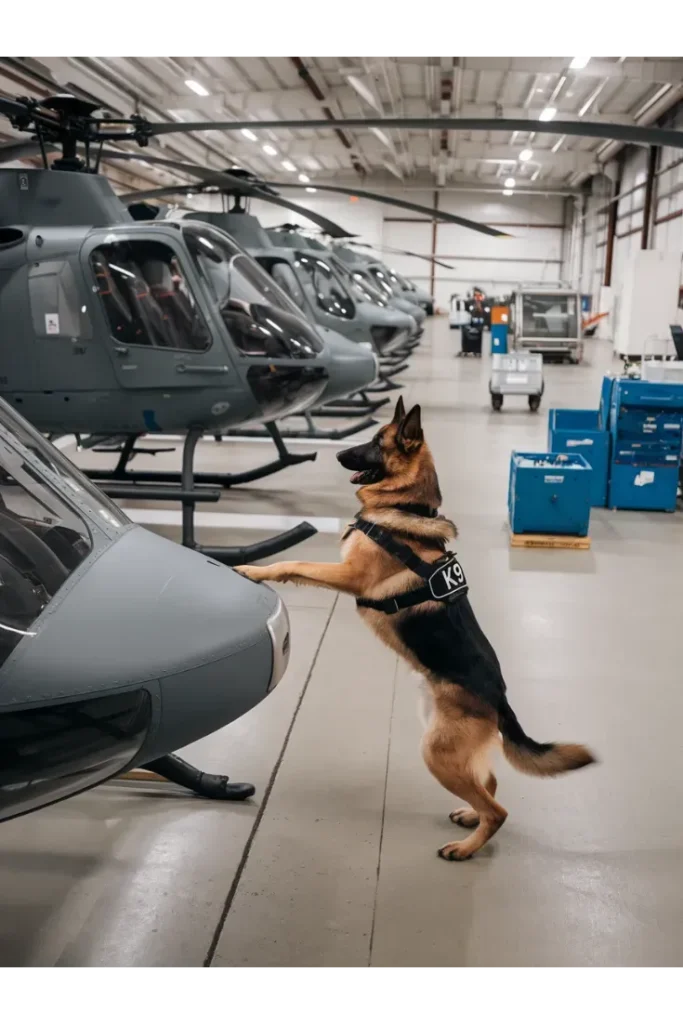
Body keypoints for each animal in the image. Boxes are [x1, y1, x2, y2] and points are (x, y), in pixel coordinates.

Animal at [236, 395, 598, 860]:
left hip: (436, 755)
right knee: (491, 782)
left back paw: (465, 848)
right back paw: (470, 819)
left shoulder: (350, 575)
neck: (404, 508)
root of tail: (499, 700)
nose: (336, 454)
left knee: (498, 808)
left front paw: (252, 569)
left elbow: (293, 562)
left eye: (376, 443)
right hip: (449, 749)